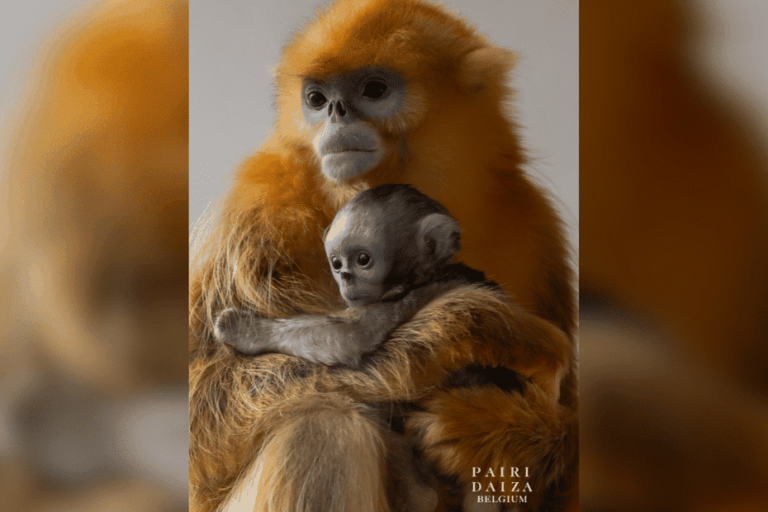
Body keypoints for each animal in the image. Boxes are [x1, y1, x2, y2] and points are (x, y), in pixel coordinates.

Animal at [189, 1, 577, 511]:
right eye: (316, 98)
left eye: (374, 89)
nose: (334, 112)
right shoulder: (262, 209)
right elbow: (203, 425)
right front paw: (469, 323)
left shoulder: (535, 220)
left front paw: (499, 428)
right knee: (320, 424)